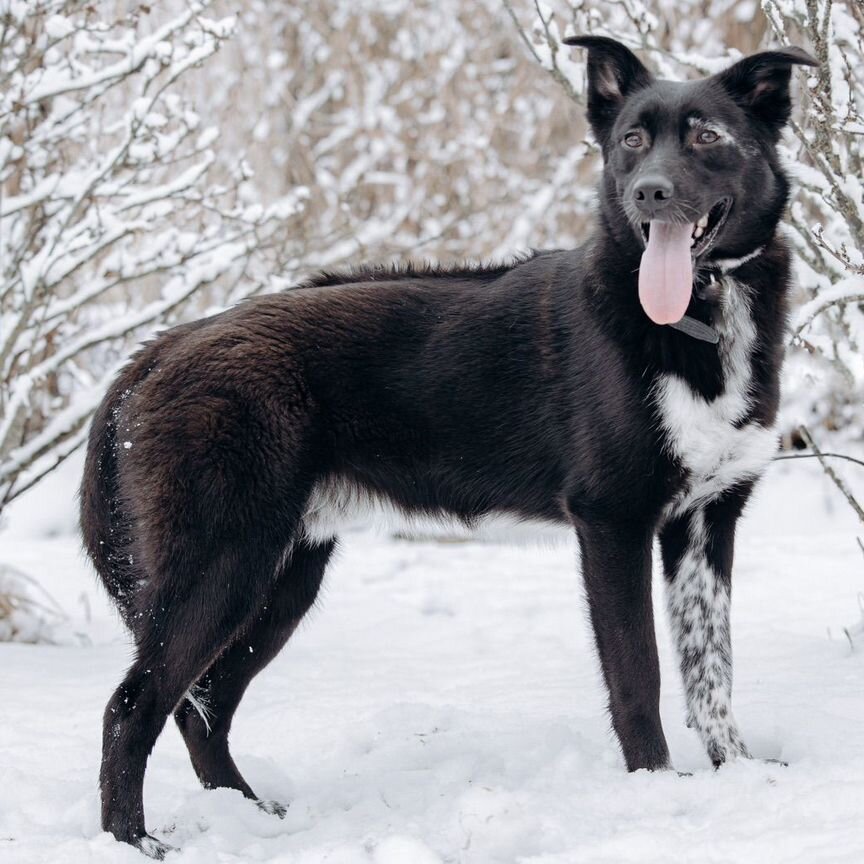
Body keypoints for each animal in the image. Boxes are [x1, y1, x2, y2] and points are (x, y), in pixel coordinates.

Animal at [81, 35, 816, 856]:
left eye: (706, 136)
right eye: (632, 140)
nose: (649, 194)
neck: (699, 311)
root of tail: (161, 346)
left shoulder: (706, 523)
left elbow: (711, 669)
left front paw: (738, 772)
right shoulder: (613, 523)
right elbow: (640, 677)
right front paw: (656, 792)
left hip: (281, 579)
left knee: (201, 707)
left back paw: (250, 813)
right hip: (223, 565)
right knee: (135, 705)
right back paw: (133, 841)